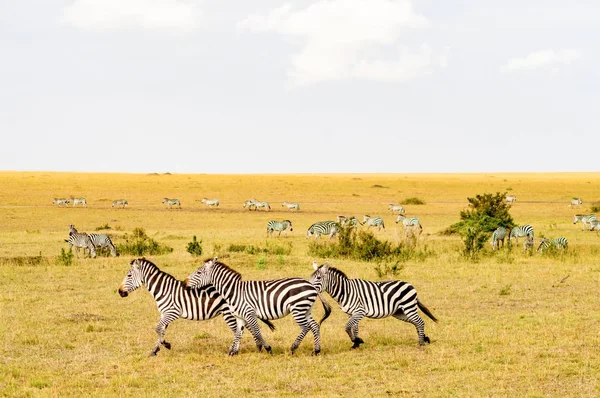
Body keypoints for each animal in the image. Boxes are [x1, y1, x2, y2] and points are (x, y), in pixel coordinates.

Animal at [116, 258, 274, 358]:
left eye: (129, 275)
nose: (119, 292)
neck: (164, 289)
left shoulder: (172, 312)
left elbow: (157, 328)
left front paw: (164, 346)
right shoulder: (164, 314)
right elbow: (161, 331)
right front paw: (157, 348)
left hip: (229, 313)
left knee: (239, 330)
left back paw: (239, 349)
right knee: (247, 327)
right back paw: (258, 346)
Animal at [185, 258, 330, 358]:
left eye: (198, 272)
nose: (185, 282)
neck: (234, 291)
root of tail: (312, 286)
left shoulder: (249, 313)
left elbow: (256, 332)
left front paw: (268, 348)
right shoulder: (239, 316)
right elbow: (238, 333)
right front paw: (233, 352)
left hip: (298, 308)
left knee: (306, 327)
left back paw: (293, 348)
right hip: (306, 310)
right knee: (314, 326)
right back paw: (316, 350)